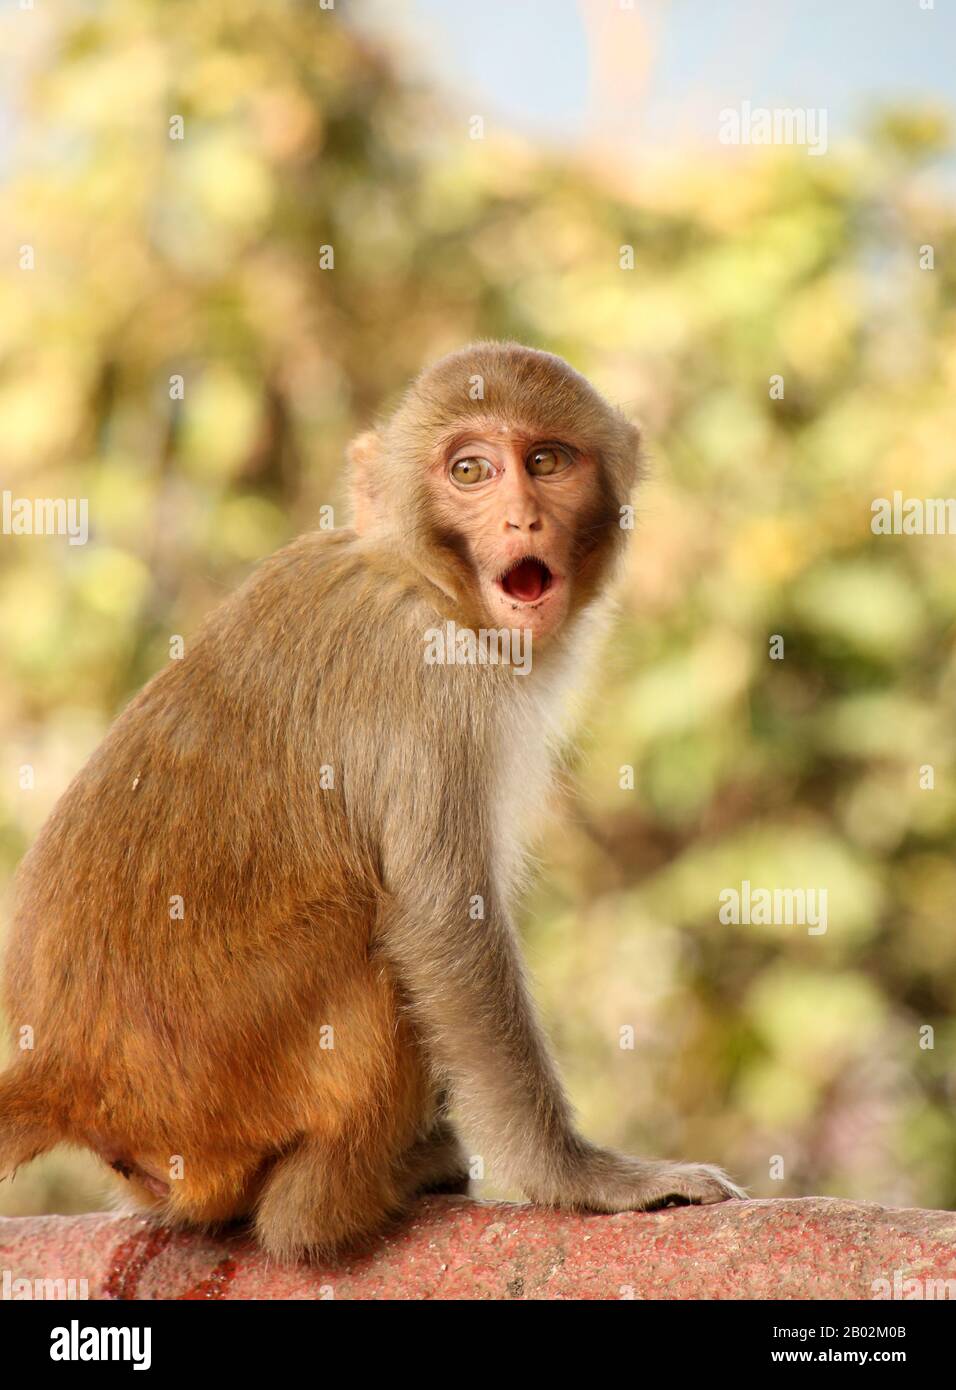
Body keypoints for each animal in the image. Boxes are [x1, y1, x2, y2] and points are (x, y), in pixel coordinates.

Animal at [0, 342, 743, 1261]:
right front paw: (583, 1179)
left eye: (545, 462)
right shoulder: (433, 687)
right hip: (217, 1078)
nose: (523, 522)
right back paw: (332, 1205)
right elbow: (441, 919)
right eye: (470, 470)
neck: (420, 576)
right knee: (372, 929)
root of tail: (63, 1074)